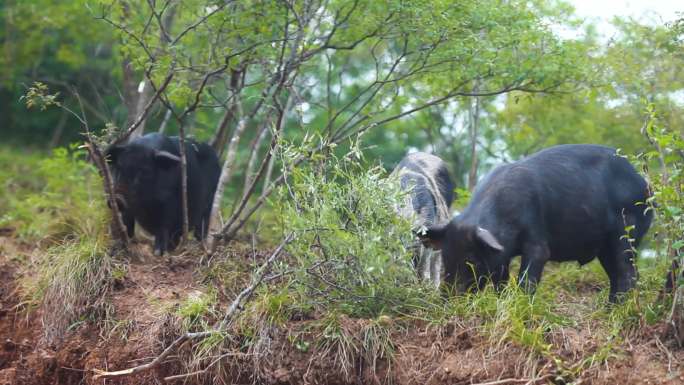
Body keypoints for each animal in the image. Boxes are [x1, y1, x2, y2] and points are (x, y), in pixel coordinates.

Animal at [422, 143, 652, 300]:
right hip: (604, 246)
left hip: (626, 231)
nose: (448, 298)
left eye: (472, 260)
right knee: (615, 274)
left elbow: (528, 274)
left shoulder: (536, 239)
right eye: (446, 256)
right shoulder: (500, 256)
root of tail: (646, 187)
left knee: (627, 272)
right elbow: (500, 281)